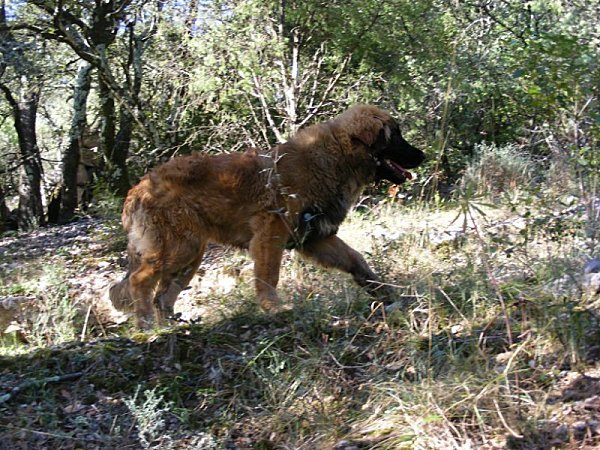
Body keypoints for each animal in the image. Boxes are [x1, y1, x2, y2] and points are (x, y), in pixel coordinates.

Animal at [109, 107, 426, 328]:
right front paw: (274, 308)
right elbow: (269, 275)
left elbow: (356, 260)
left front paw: (383, 291)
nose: (422, 155)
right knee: (140, 281)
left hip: (189, 256)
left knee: (164, 295)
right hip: (178, 248)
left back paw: (171, 326)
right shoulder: (271, 233)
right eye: (395, 135)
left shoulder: (316, 238)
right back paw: (148, 326)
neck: (334, 158)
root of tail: (138, 188)